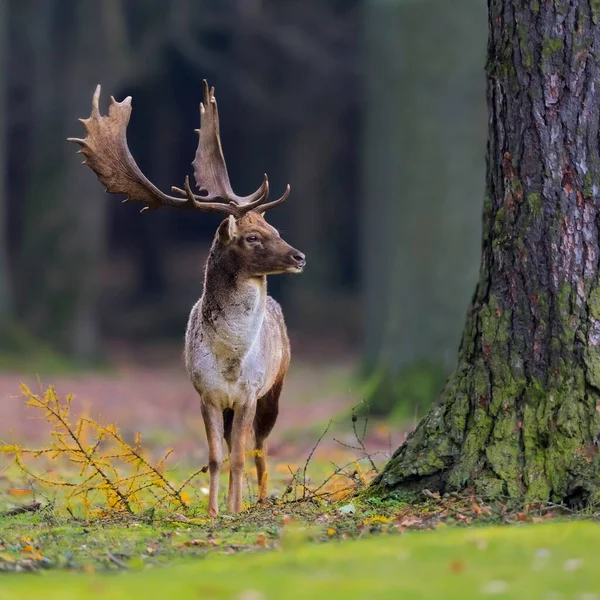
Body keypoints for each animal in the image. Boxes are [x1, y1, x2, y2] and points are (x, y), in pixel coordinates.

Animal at [69, 82, 304, 516]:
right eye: (253, 237)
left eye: (275, 229)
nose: (300, 257)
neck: (229, 361)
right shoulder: (205, 394)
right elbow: (215, 456)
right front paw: (213, 512)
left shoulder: (249, 392)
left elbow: (241, 456)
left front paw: (234, 510)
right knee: (242, 446)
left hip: (277, 383)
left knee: (261, 447)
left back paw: (261, 500)